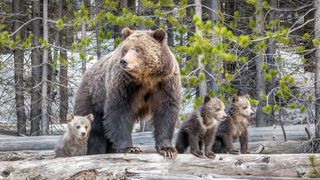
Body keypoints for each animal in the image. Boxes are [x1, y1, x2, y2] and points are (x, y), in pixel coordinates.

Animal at [73, 27, 181, 158]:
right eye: (125, 49)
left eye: (139, 49)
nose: (124, 61)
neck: (146, 79)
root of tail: (85, 75)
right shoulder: (124, 85)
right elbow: (120, 112)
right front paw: (131, 148)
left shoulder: (164, 84)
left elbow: (165, 112)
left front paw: (168, 149)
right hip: (93, 99)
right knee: (94, 130)